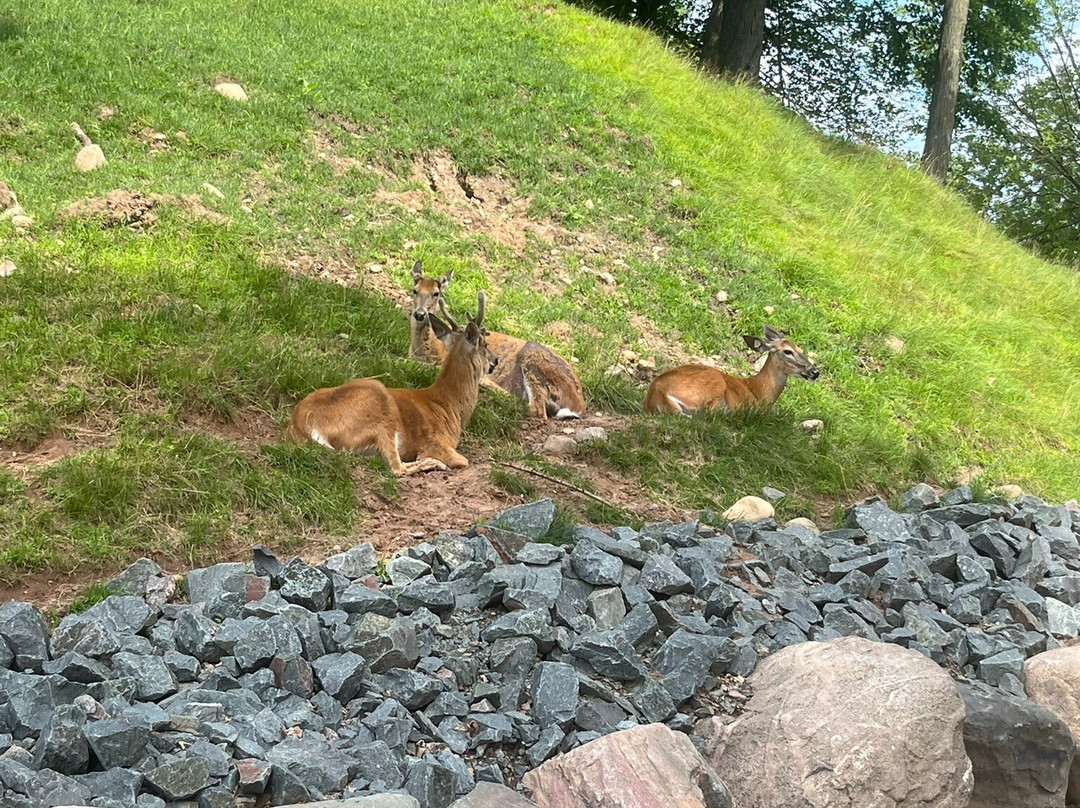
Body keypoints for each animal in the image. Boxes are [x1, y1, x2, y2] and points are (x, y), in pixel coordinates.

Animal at [285, 291, 494, 474]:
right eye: (484, 344)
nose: (495, 361)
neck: (449, 406)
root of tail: (301, 424)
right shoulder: (436, 442)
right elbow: (462, 460)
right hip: (380, 407)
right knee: (396, 467)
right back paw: (434, 463)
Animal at [408, 264, 587, 421]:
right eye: (415, 290)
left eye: (436, 293)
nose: (420, 314)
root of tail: (579, 403)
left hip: (532, 355)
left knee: (534, 408)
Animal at [644, 325, 819, 415]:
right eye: (788, 351)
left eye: (801, 349)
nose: (815, 371)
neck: (759, 393)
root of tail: (658, 393)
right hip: (712, 387)